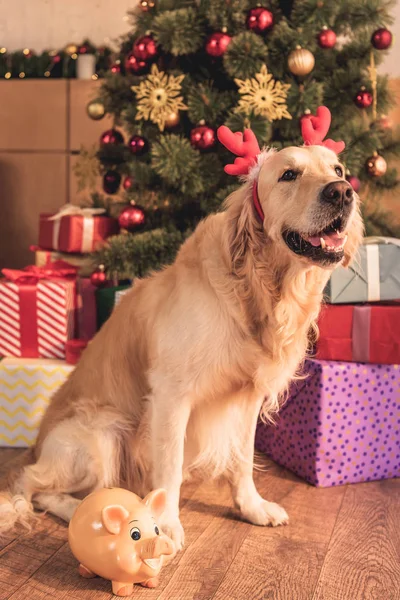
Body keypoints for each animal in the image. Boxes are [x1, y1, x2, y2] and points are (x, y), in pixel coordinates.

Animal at [0, 142, 362, 548]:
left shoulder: (247, 396)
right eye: (289, 174)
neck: (256, 289)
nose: (342, 192)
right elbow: (170, 466)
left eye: (339, 170)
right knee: (33, 486)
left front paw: (251, 507)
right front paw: (166, 524)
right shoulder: (172, 395)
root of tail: (36, 446)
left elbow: (242, 459)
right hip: (104, 432)